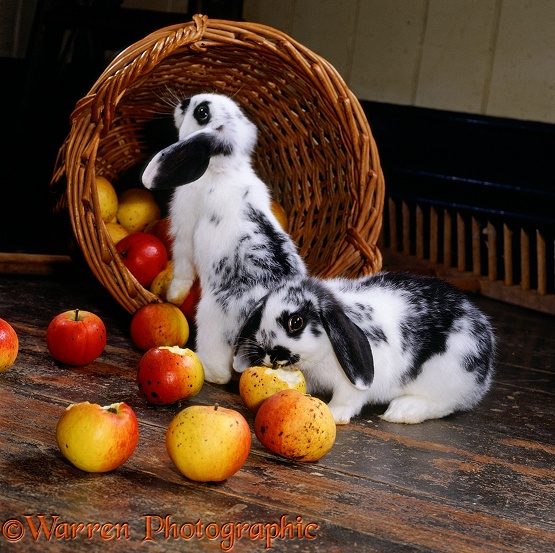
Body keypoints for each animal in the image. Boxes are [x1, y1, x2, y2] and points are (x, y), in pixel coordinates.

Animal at [141, 92, 306, 382]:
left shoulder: (184, 232)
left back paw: (206, 369)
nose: (182, 102)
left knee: (222, 373)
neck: (223, 168)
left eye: (202, 112)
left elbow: (182, 269)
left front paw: (173, 297)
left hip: (211, 318)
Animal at [232, 272, 498, 422]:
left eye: (295, 322)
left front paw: (334, 414)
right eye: (261, 316)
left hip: (446, 373)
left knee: (444, 404)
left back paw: (401, 412)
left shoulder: (352, 383)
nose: (269, 354)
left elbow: (348, 398)